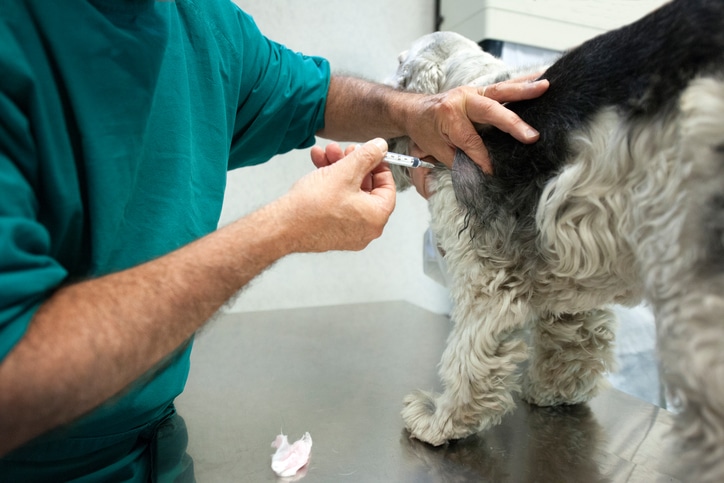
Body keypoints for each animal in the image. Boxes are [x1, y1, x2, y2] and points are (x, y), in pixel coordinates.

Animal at [388, 0, 724, 480]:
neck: (476, 82)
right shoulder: (572, 283)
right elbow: (576, 343)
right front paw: (554, 393)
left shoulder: (485, 281)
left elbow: (467, 356)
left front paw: (440, 421)